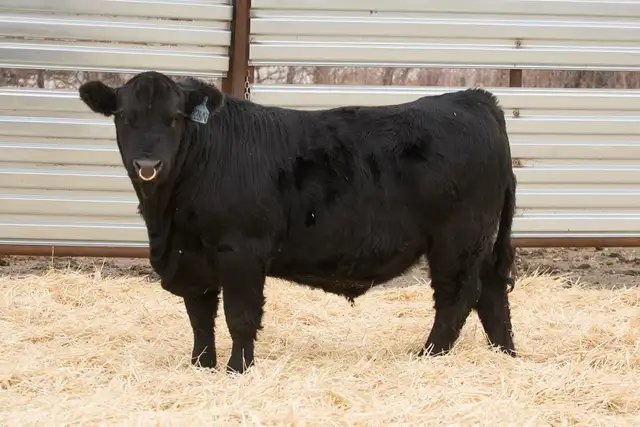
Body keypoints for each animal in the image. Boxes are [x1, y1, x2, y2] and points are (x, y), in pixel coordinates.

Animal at [78, 71, 518, 374]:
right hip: (480, 242)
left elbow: (240, 316)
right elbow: (200, 317)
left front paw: (238, 370)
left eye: (174, 118)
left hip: (457, 240)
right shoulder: (193, 257)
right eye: (124, 116)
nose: (148, 164)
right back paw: (507, 355)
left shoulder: (241, 250)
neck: (167, 219)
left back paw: (428, 356)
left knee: (457, 297)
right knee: (493, 294)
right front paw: (201, 367)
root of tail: (474, 99)